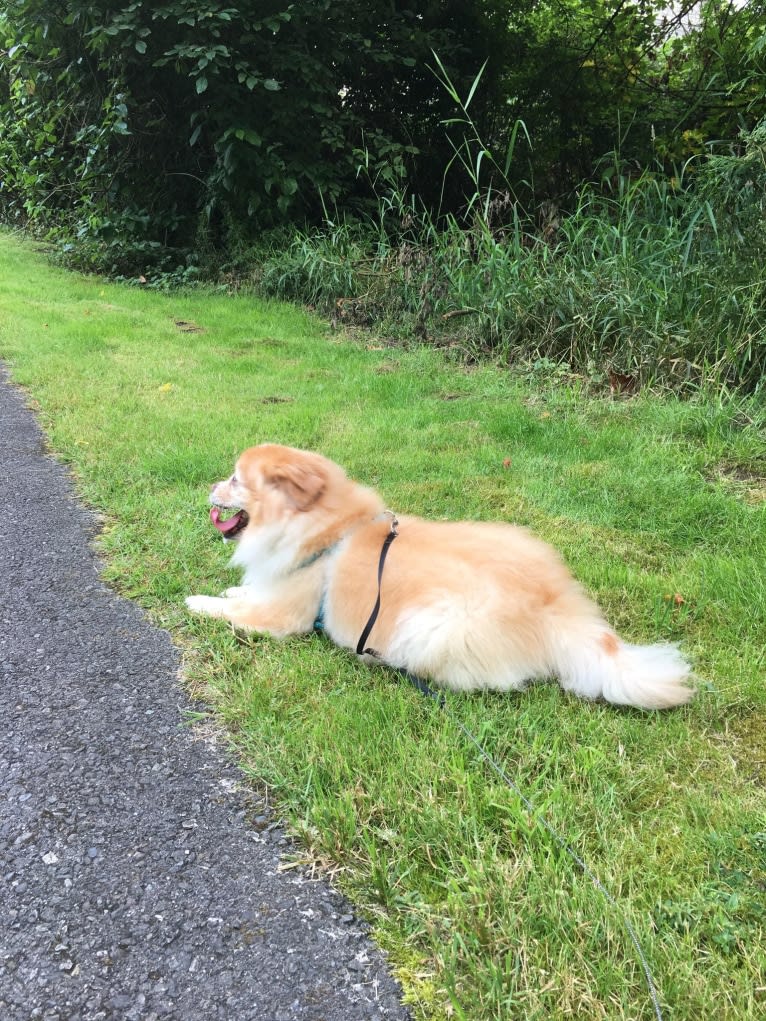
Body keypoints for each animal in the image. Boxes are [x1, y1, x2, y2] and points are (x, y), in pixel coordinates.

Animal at [185, 443, 694, 714]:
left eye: (234, 480)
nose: (207, 486)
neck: (324, 531)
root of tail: (557, 605)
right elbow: (246, 591)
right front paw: (233, 587)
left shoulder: (284, 614)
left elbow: (230, 609)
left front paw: (197, 601)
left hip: (431, 626)